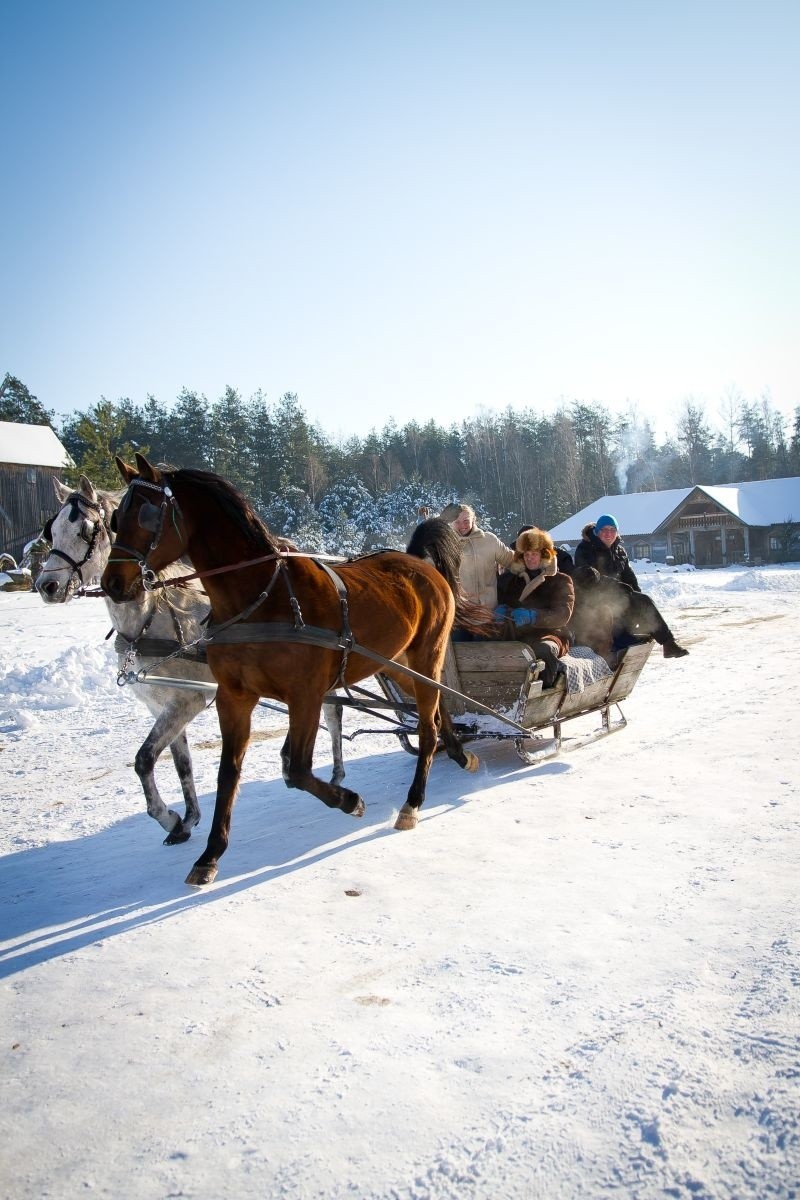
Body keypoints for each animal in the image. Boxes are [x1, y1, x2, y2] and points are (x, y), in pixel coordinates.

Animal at [100, 453, 474, 888]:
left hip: (427, 651)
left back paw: (413, 801)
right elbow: (229, 773)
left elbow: (297, 769)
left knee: (427, 724)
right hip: (393, 662)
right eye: (115, 520)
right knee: (435, 707)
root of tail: (417, 561)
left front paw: (349, 800)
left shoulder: (305, 695)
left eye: (147, 514)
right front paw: (210, 854)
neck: (263, 598)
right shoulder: (233, 696)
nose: (113, 582)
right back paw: (458, 750)